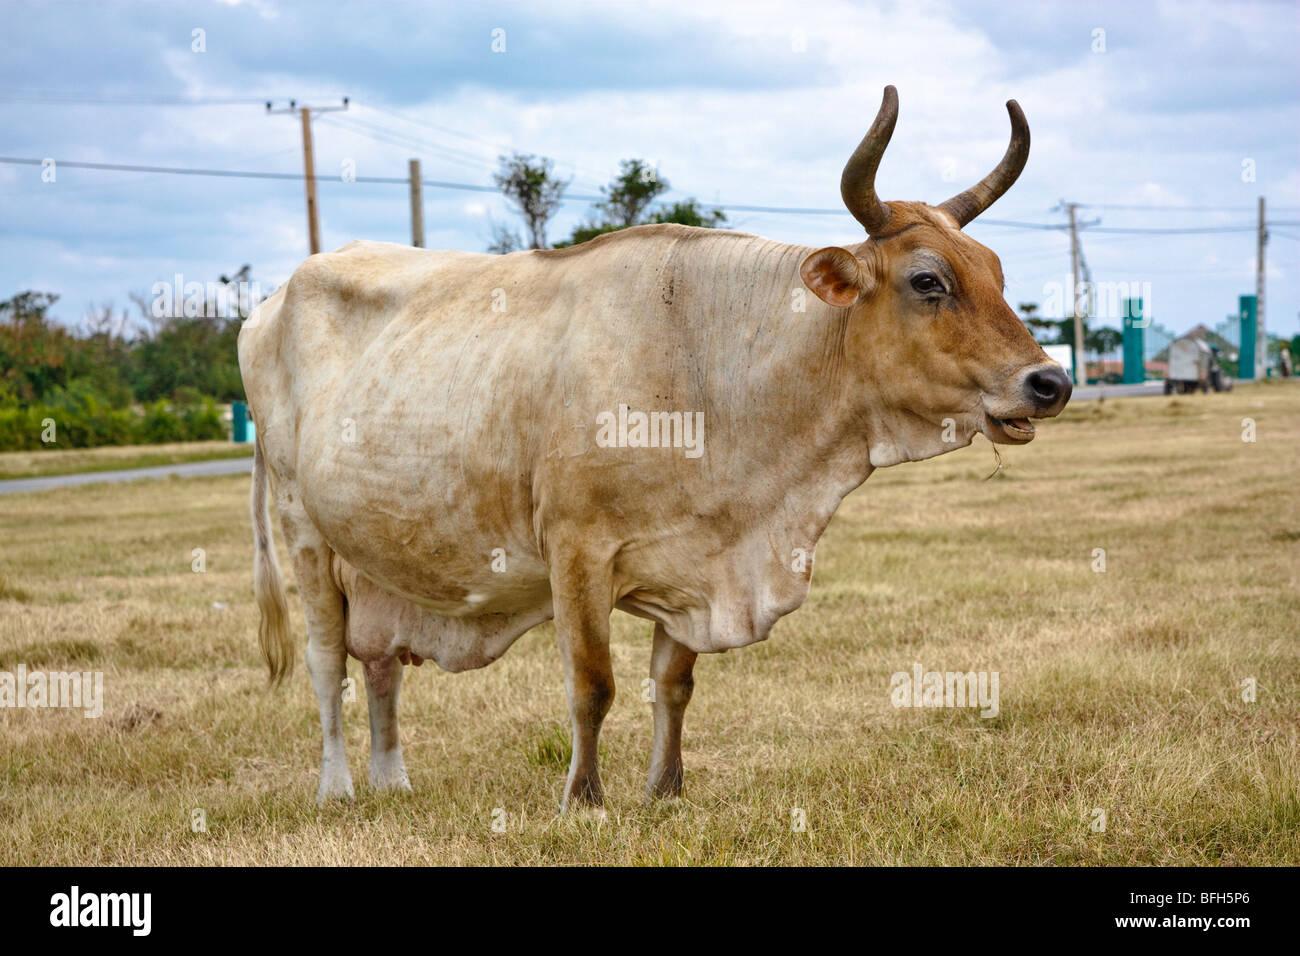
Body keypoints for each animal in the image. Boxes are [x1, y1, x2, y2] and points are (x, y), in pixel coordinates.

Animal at [238, 86, 1071, 809]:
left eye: (997, 272)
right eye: (928, 281)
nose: (1050, 381)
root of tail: (270, 302)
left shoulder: (699, 561)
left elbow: (674, 685)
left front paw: (665, 790)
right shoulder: (576, 550)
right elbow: (592, 685)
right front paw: (584, 800)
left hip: (377, 558)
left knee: (380, 665)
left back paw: (393, 781)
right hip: (303, 531)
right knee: (327, 665)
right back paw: (339, 788)